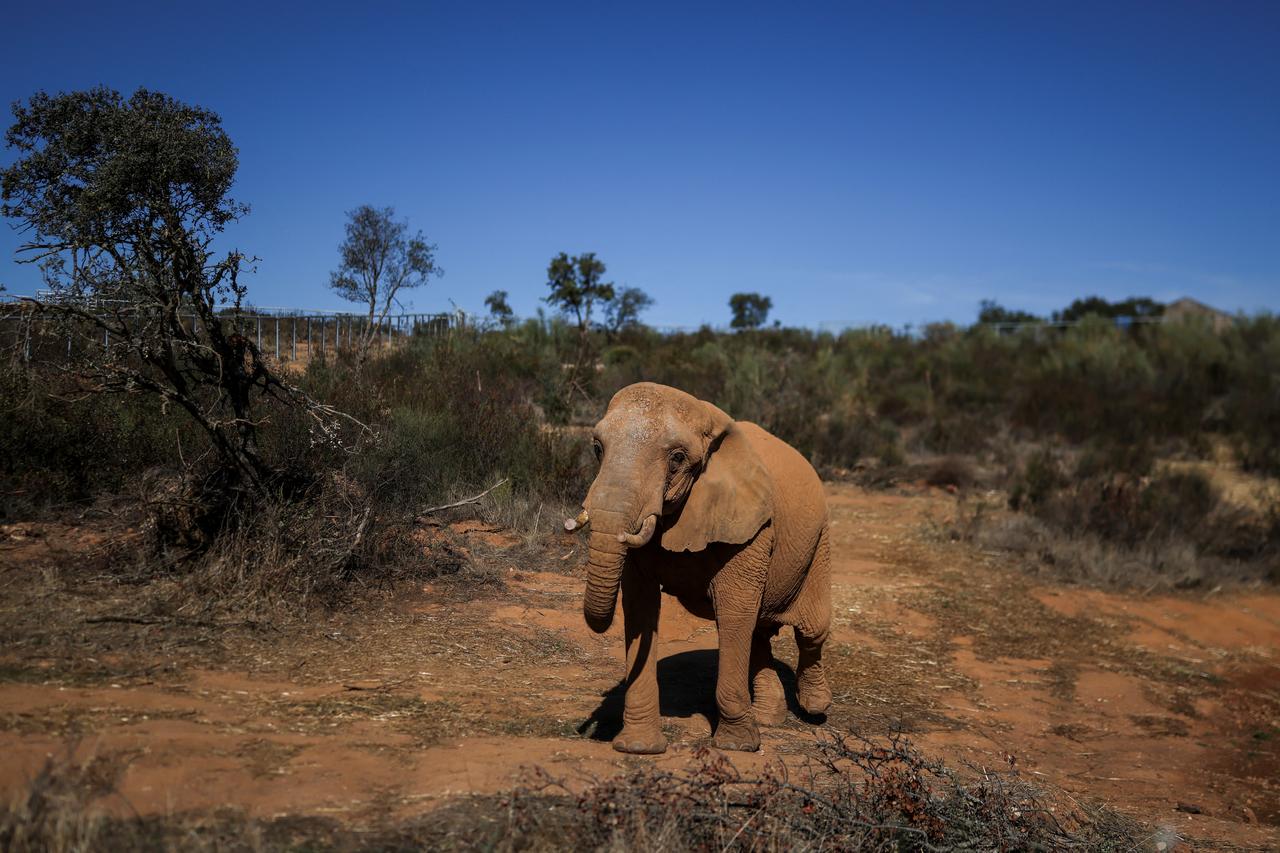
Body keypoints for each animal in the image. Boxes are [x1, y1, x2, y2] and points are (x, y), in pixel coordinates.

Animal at [572, 382, 832, 754]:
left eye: (677, 458)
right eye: (596, 448)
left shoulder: (751, 527)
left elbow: (734, 610)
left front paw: (736, 746)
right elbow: (640, 607)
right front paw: (638, 748)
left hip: (819, 541)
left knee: (811, 630)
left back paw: (815, 708)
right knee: (760, 630)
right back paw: (769, 719)